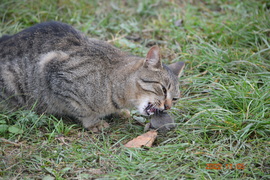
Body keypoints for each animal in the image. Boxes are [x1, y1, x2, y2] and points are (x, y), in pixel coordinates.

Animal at [0, 21, 185, 129]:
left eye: (175, 98)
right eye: (163, 89)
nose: (168, 106)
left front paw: (120, 112)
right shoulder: (55, 73)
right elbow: (80, 109)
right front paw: (93, 122)